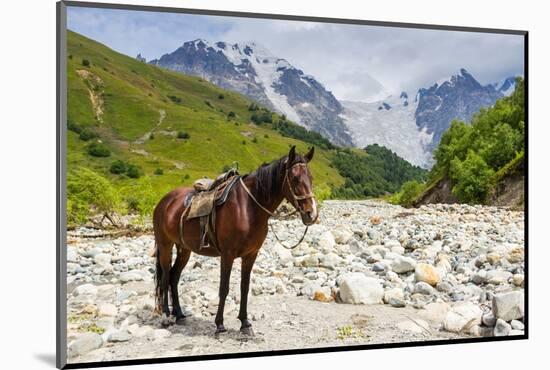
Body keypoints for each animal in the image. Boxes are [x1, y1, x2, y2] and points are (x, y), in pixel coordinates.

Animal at [152, 145, 320, 336]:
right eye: (295, 178)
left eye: (311, 178)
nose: (311, 214)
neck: (247, 207)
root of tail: (164, 201)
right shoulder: (228, 255)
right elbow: (224, 288)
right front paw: (219, 324)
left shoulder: (251, 255)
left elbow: (244, 288)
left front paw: (245, 323)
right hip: (165, 245)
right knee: (165, 277)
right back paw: (166, 316)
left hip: (184, 249)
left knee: (174, 277)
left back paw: (179, 314)